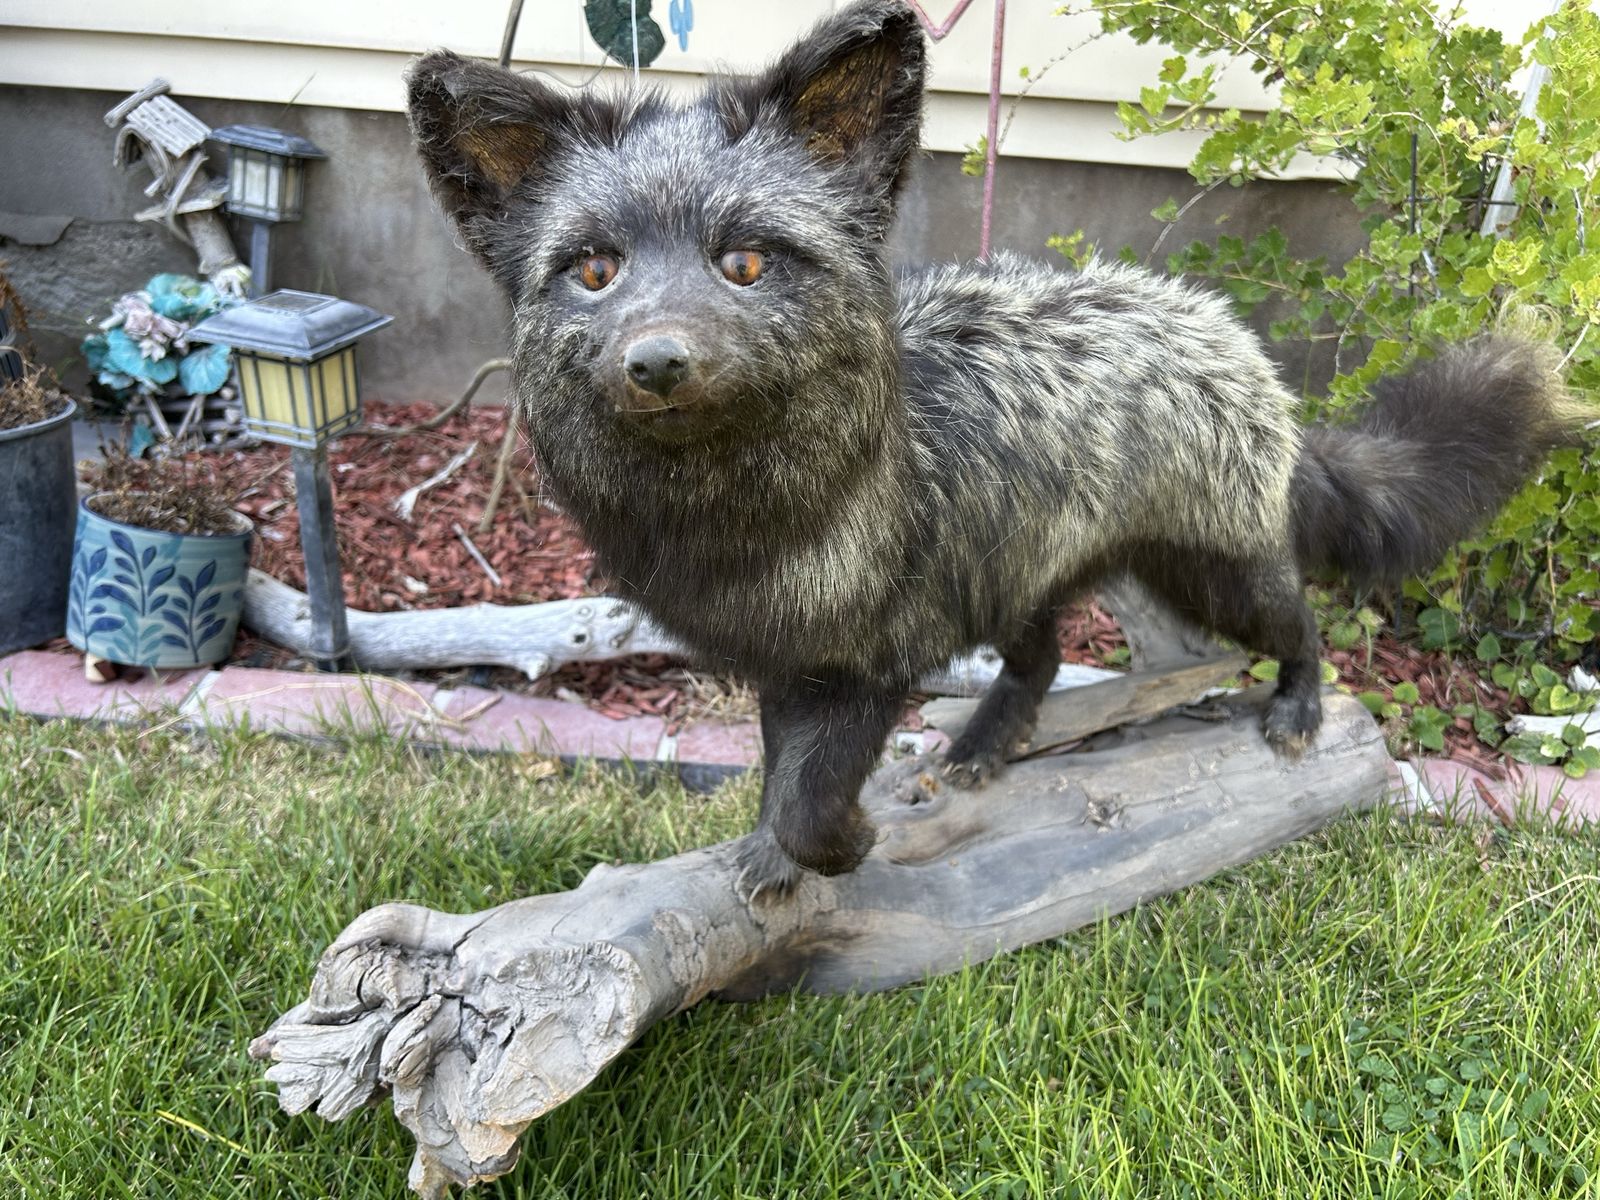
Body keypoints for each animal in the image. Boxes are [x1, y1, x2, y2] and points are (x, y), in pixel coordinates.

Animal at [406, 0, 1583, 894]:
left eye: (744, 262)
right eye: (594, 272)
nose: (655, 361)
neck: (747, 525)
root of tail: (1232, 343)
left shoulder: (865, 668)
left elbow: (811, 805)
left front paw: (841, 849)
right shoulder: (790, 663)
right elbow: (777, 788)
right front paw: (779, 860)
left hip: (1216, 574)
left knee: (1304, 624)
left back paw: (1295, 708)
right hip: (1017, 568)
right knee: (1045, 657)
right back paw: (985, 741)